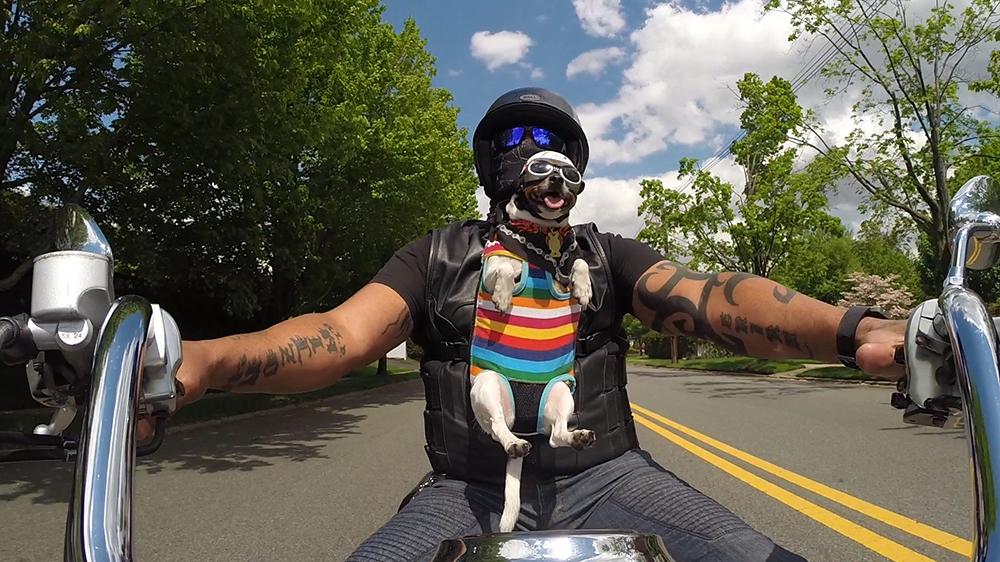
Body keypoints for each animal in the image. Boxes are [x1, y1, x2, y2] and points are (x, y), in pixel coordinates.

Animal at [468, 149, 592, 528]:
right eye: (538, 169)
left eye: (569, 174)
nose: (555, 179)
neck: (541, 234)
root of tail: (522, 426)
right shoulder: (493, 264)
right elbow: (507, 268)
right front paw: (504, 296)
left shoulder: (567, 264)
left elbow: (580, 262)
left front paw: (584, 289)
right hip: (488, 387)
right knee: (498, 429)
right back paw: (514, 444)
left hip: (561, 395)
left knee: (555, 436)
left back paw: (577, 437)